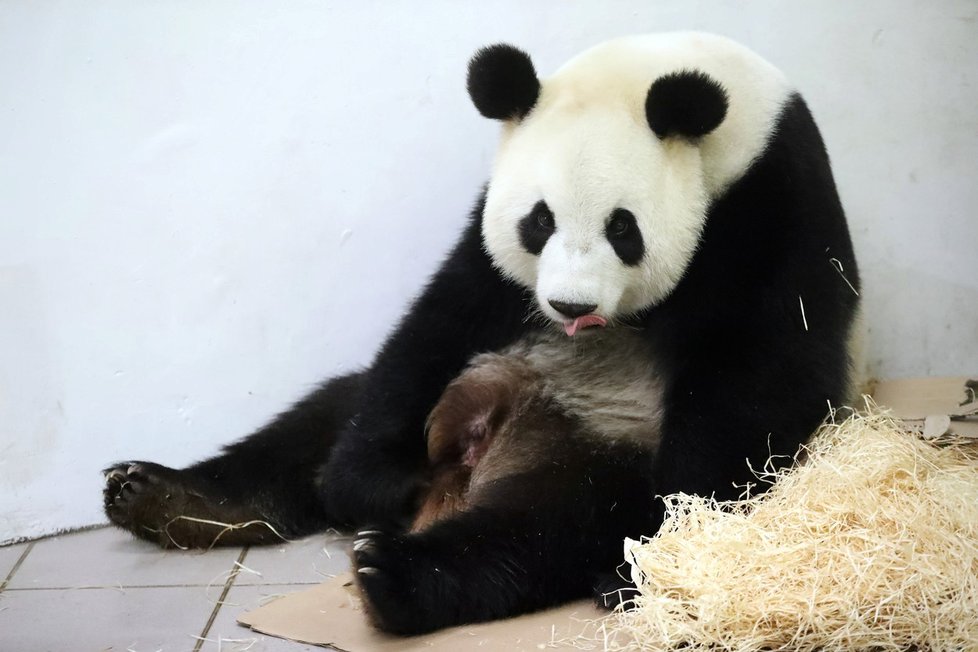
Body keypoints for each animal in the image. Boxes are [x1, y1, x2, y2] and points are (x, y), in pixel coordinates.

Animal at [103, 33, 856, 636]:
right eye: (539, 221)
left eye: (623, 228)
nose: (569, 306)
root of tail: (467, 468)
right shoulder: (487, 241)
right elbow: (445, 313)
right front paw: (362, 487)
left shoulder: (775, 205)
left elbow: (758, 382)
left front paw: (663, 551)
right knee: (322, 418)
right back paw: (162, 496)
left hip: (600, 449)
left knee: (543, 529)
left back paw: (395, 576)